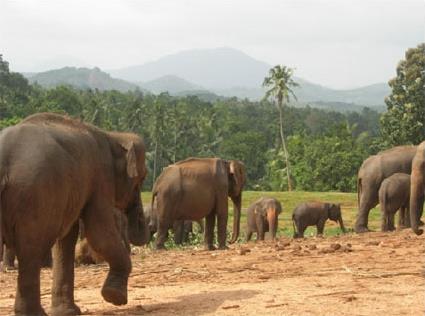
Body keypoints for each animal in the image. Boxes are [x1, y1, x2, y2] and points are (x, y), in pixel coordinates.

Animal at [0, 113, 149, 316]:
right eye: (143, 177)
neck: (112, 135)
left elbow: (67, 238)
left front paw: (67, 312)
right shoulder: (100, 177)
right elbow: (99, 233)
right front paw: (114, 297)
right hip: (35, 198)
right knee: (31, 250)